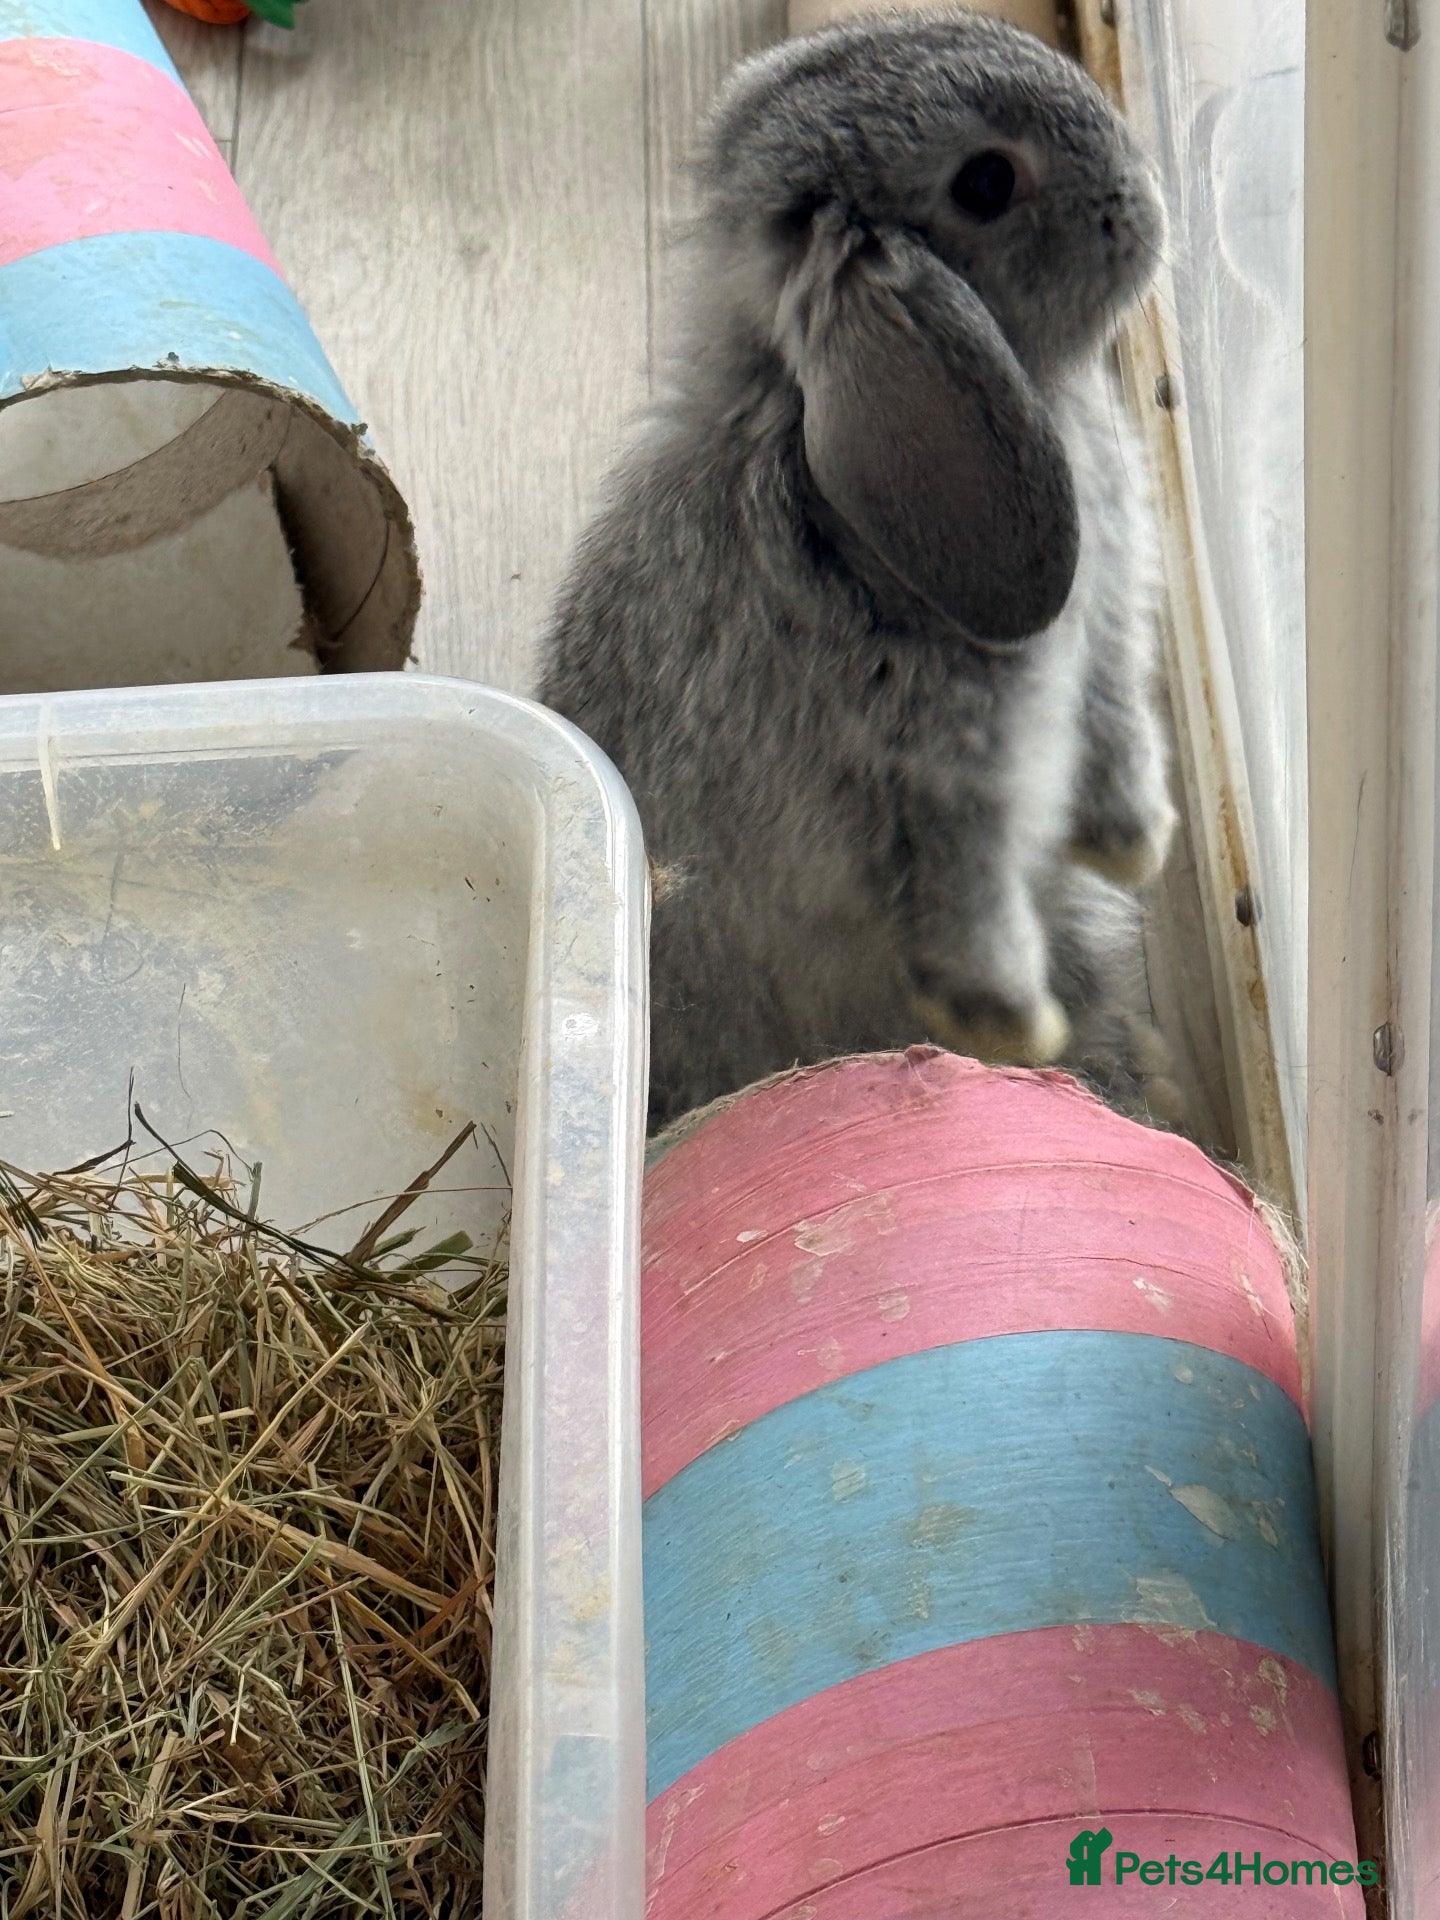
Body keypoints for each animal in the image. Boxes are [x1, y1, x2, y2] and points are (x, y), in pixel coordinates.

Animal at [539, 8, 1176, 1132]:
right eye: (985, 183)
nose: (1145, 198)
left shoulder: (1101, 636)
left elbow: (1114, 735)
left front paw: (1133, 847)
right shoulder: (936, 762)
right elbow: (963, 905)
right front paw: (1012, 1027)